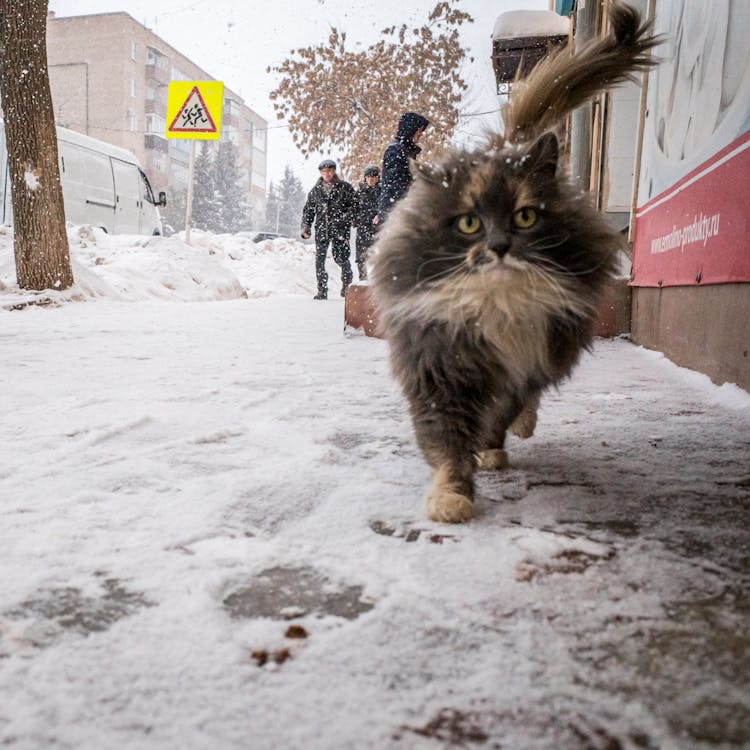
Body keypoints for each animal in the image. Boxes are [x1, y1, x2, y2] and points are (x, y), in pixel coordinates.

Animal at [374, 2, 660, 524]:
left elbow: (499, 416)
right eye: (469, 223)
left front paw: (489, 452)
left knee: (528, 405)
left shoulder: (522, 367)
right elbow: (447, 444)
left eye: (525, 217)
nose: (500, 245)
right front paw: (452, 498)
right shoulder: (439, 369)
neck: (498, 307)